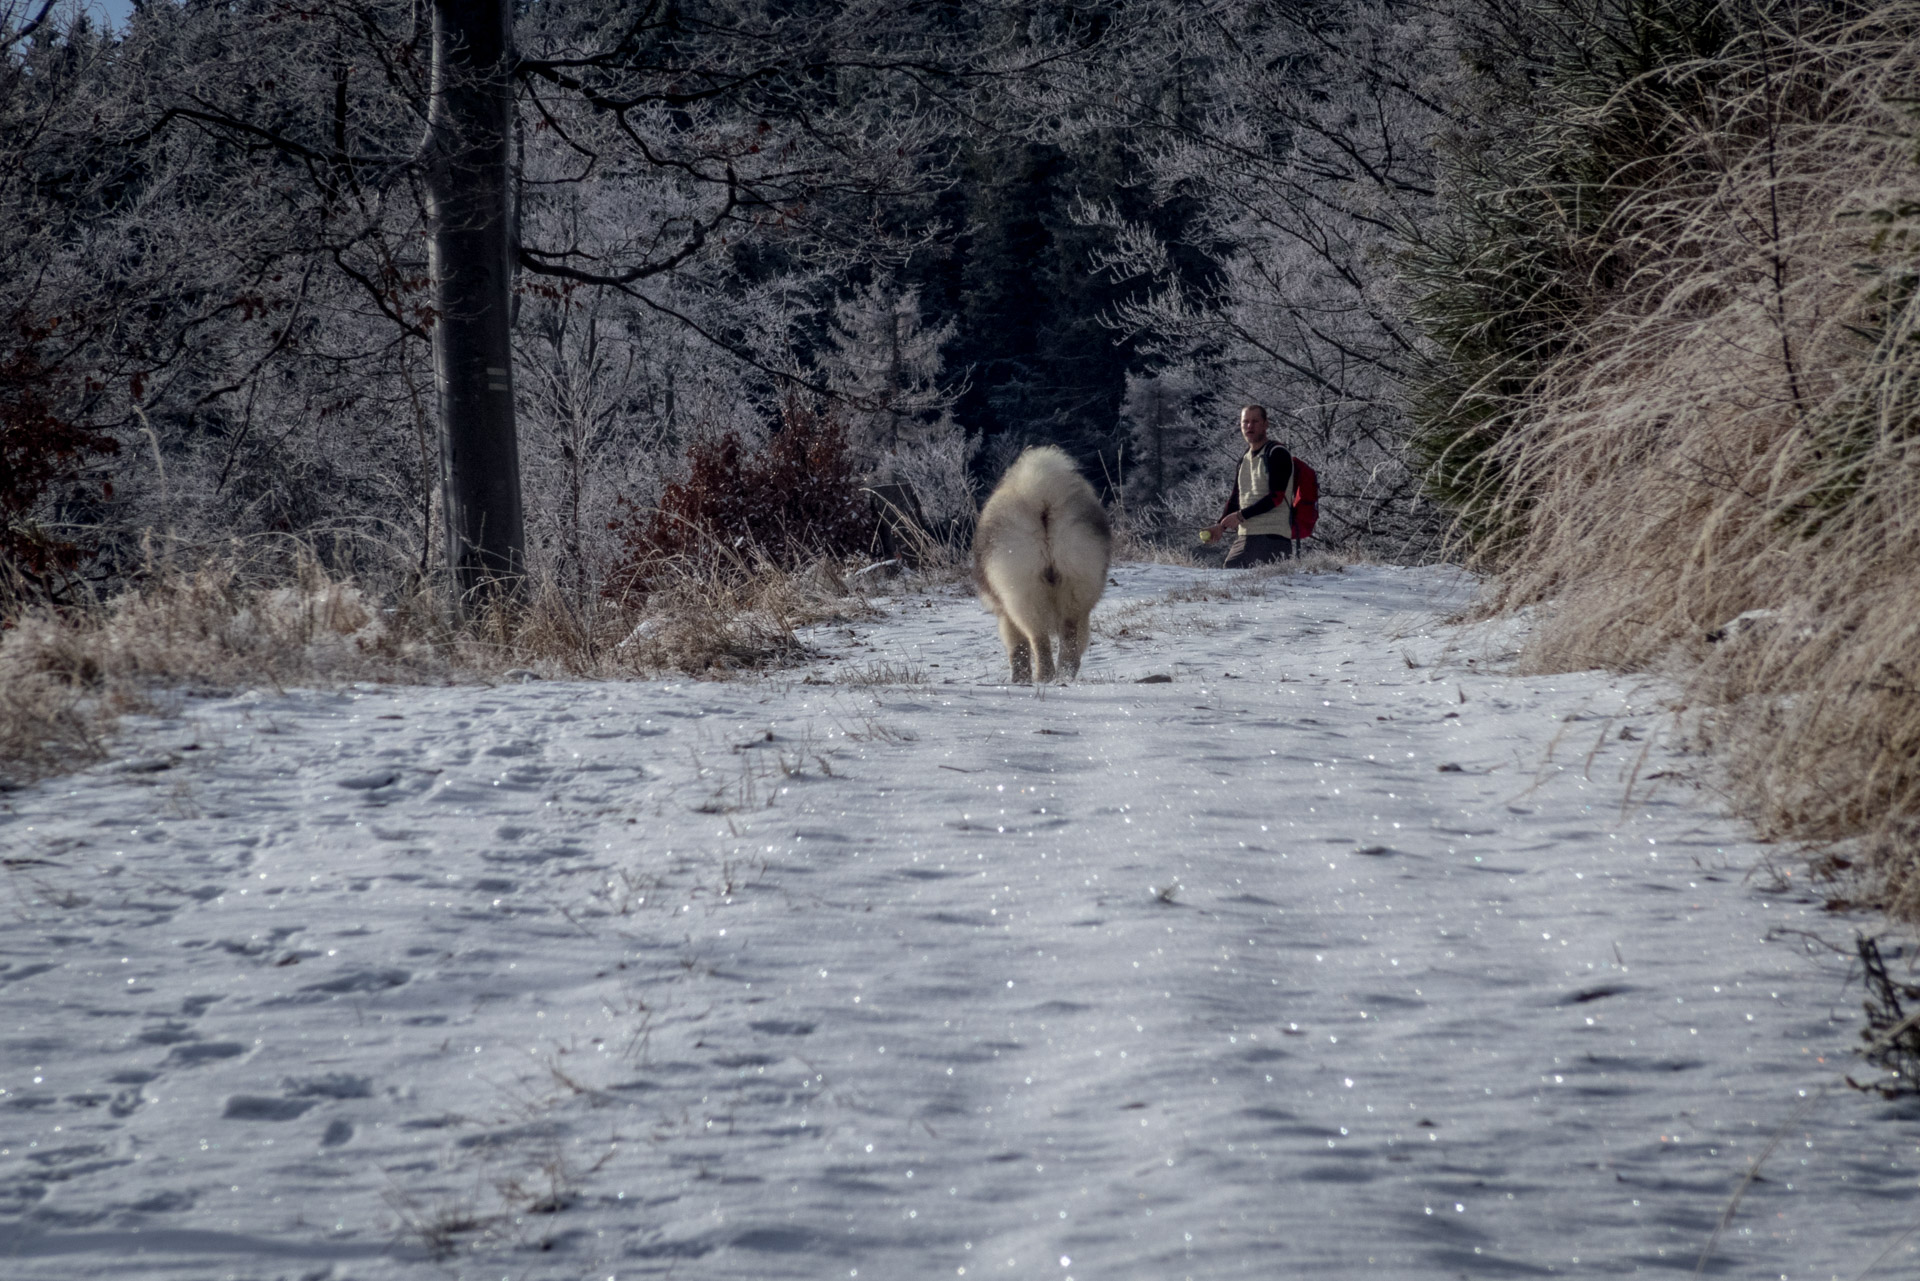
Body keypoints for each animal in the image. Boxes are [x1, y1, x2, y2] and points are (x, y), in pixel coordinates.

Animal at [975, 445, 1113, 679]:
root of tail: (1043, 498)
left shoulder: (1006, 616)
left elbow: (1018, 650)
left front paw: (1020, 679)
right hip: (1075, 584)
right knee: (1069, 641)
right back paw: (1063, 676)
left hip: (1023, 593)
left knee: (1039, 640)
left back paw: (1045, 678)